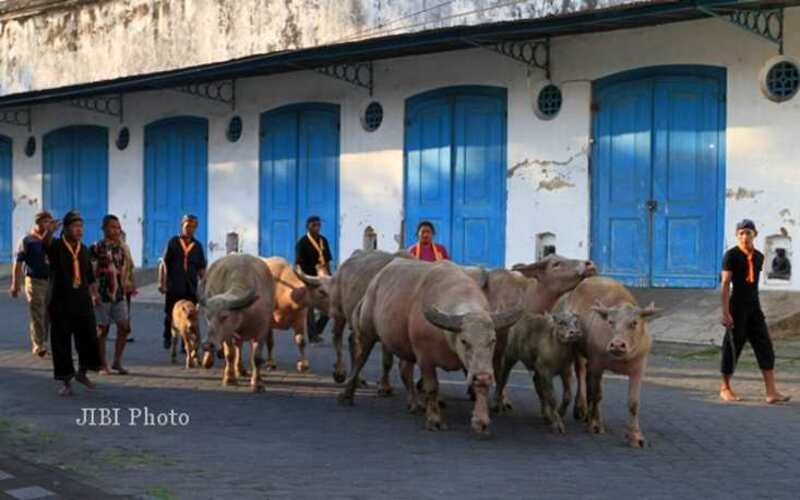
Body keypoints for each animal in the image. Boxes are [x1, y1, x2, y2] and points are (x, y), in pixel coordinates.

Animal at [199, 256, 276, 392]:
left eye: (224, 316)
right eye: (207, 316)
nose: (207, 344)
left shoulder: (262, 331)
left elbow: (256, 357)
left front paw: (258, 383)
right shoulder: (227, 334)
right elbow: (230, 354)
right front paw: (229, 379)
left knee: (240, 346)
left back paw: (242, 370)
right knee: (235, 348)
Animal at [342, 260, 520, 436]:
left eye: (492, 340)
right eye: (464, 341)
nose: (483, 376)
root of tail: (374, 283)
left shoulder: (480, 365)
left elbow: (479, 387)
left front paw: (481, 420)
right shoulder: (425, 358)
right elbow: (432, 387)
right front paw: (434, 420)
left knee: (404, 369)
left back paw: (414, 403)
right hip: (367, 334)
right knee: (360, 360)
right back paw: (347, 394)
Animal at [564, 276, 660, 448]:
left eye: (634, 323)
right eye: (610, 322)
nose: (617, 344)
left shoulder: (639, 368)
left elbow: (633, 403)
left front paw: (636, 436)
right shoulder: (597, 365)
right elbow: (597, 395)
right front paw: (596, 424)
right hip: (576, 348)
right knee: (581, 374)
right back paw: (582, 409)